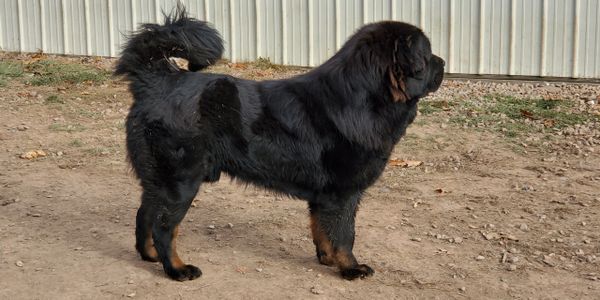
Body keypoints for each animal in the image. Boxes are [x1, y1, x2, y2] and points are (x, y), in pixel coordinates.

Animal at [115, 5, 442, 282]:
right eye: (427, 55)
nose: (443, 61)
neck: (360, 101)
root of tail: (156, 79)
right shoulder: (344, 193)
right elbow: (345, 235)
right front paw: (350, 268)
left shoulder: (324, 196)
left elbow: (321, 229)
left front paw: (326, 259)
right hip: (180, 181)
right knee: (164, 227)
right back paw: (177, 269)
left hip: (160, 180)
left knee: (144, 215)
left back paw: (150, 256)